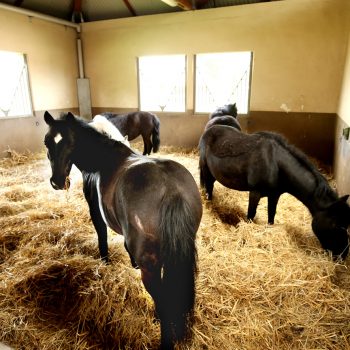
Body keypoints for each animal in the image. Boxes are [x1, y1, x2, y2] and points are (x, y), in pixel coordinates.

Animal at [43, 110, 202, 348]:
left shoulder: (96, 213)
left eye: (70, 143)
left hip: (151, 268)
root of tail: (171, 190)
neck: (103, 159)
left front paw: (105, 263)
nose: (57, 181)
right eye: (47, 142)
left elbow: (102, 239)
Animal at [200, 125, 350, 260]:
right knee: (207, 187)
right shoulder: (255, 193)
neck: (275, 164)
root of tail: (210, 129)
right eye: (336, 225)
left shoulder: (274, 195)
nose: (342, 255)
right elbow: (250, 216)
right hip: (205, 168)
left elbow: (271, 216)